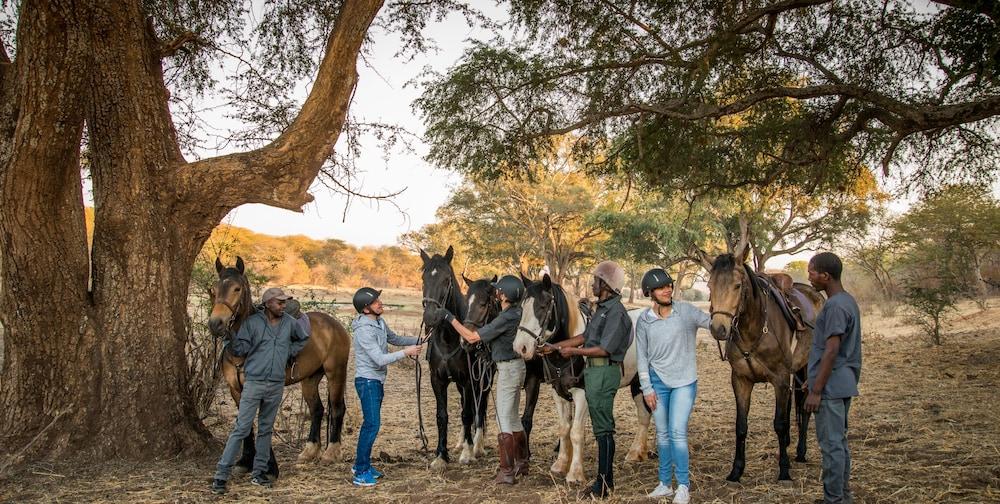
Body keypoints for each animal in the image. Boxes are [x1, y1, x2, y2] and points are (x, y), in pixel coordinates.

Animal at [207, 256, 352, 476]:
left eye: (236, 289)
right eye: (214, 289)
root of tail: (334, 324)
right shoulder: (236, 390)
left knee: (337, 409)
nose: (216, 324)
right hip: (310, 379)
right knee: (317, 410)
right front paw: (244, 462)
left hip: (335, 373)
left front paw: (263, 464)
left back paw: (330, 452)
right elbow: (245, 424)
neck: (244, 347)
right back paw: (310, 451)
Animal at [418, 246, 488, 470]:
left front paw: (467, 453)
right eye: (424, 277)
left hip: (484, 379)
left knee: (480, 406)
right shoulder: (438, 380)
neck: (449, 338)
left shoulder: (468, 379)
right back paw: (461, 441)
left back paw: (477, 445)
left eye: (446, 279)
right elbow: (442, 416)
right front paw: (441, 455)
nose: (430, 317)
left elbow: (468, 413)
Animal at [512, 276, 652, 484]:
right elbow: (564, 428)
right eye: (522, 306)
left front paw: (575, 474)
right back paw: (636, 453)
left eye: (544, 306)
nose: (520, 347)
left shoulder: (582, 395)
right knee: (644, 415)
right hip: (636, 383)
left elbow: (576, 432)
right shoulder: (558, 393)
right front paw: (560, 465)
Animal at [704, 254, 820, 482]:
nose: (719, 329)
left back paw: (800, 452)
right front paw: (736, 470)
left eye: (737, 285)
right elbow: (741, 426)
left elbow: (780, 423)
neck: (754, 328)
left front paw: (783, 470)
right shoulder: (741, 380)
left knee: (804, 407)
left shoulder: (779, 379)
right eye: (709, 285)